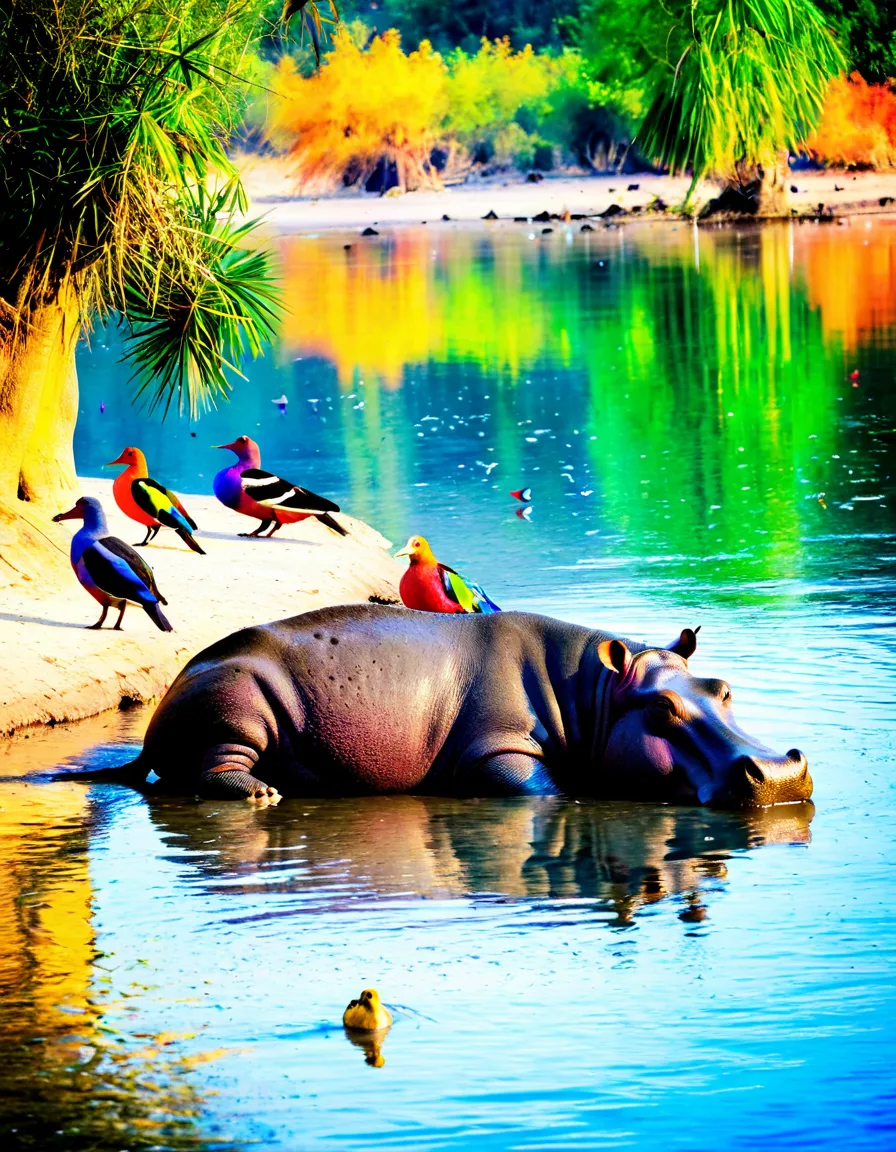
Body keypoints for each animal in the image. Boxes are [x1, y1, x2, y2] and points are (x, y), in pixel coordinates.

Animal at [98, 604, 812, 809]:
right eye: (662, 709)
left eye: (723, 688)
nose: (780, 772)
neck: (592, 695)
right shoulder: (499, 754)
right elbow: (543, 789)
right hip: (237, 707)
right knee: (214, 767)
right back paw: (259, 794)